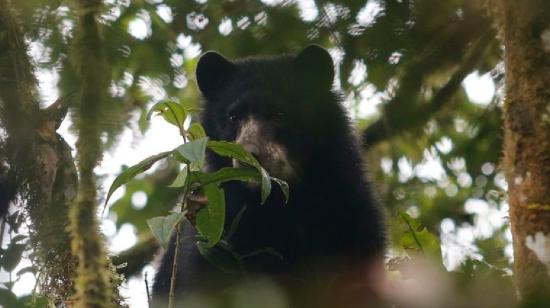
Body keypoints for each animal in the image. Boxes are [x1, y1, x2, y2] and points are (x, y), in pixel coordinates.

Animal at [153, 45, 386, 308]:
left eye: (280, 114)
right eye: (233, 116)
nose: (248, 155)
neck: (282, 203)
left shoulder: (351, 212)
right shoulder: (217, 233)